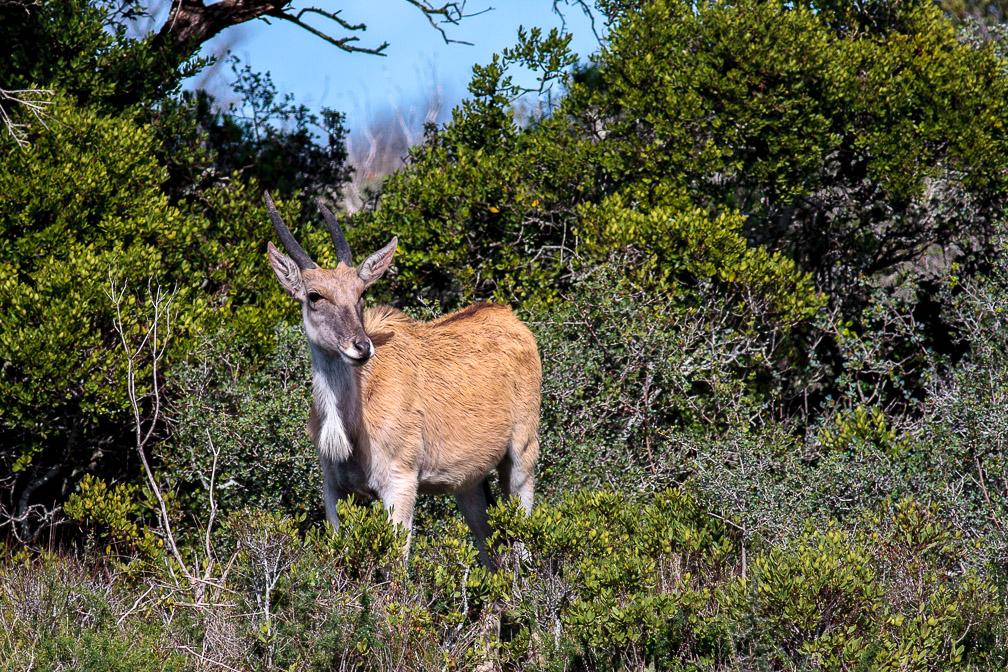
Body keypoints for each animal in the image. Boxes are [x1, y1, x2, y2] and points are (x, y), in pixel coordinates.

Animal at [264, 194, 540, 568]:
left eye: (361, 293)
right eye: (315, 296)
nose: (361, 347)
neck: (354, 415)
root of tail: (511, 318)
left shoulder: (400, 483)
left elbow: (396, 567)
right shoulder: (335, 490)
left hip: (522, 458)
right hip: (468, 482)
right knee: (488, 545)